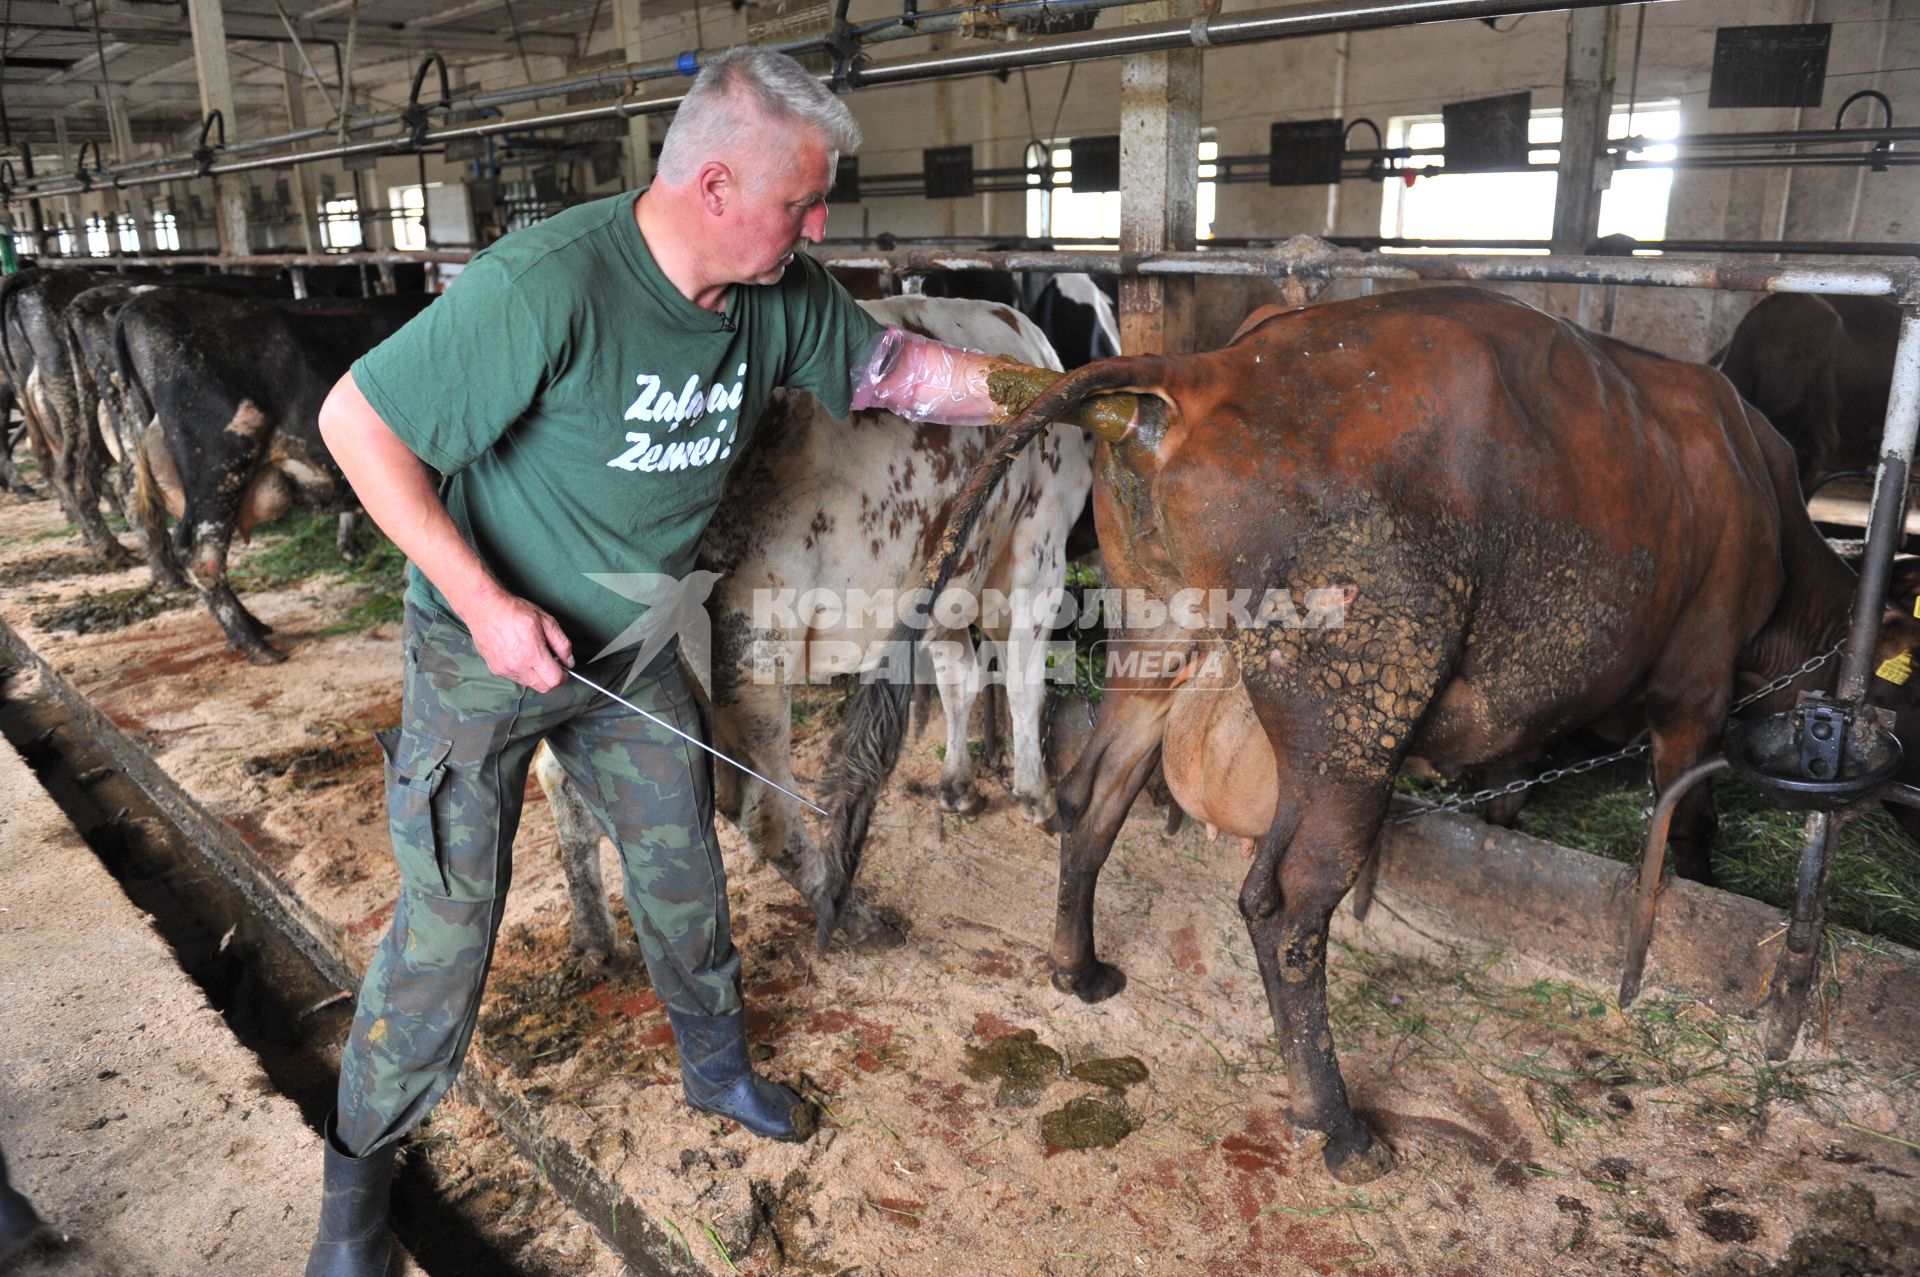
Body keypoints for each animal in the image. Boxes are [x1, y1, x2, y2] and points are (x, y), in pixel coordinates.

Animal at [533, 293, 1098, 960]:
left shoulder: (945, 577)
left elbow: (959, 682)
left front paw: (957, 786)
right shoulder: (1039, 552)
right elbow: (1022, 686)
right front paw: (1037, 797)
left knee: (567, 782)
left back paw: (594, 936)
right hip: (752, 642)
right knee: (762, 810)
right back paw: (847, 911)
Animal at [810, 284, 1920, 1182]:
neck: (1766, 505)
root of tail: (1209, 370)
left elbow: (1520, 771)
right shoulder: (1695, 684)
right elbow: (1682, 822)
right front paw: (1682, 910)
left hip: (1160, 637)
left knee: (1096, 795)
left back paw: (1077, 966)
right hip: (1351, 712)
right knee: (1286, 903)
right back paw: (1335, 1123)